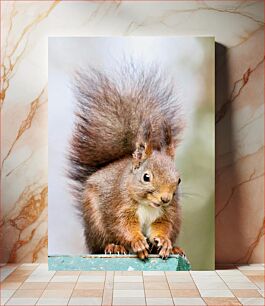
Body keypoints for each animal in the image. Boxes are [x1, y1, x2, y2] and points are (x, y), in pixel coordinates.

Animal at [67, 63, 184, 260]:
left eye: (179, 180)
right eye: (146, 177)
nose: (165, 198)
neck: (147, 204)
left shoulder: (168, 213)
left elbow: (163, 226)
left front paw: (164, 241)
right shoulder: (119, 206)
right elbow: (123, 225)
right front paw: (137, 242)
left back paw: (174, 248)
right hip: (95, 224)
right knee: (101, 244)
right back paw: (114, 247)